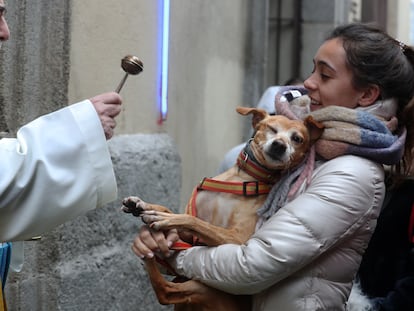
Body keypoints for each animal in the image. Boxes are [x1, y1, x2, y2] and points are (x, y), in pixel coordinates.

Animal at [123, 106, 324, 310]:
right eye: (272, 128)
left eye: (297, 138)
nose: (279, 145)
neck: (242, 179)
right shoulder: (190, 233)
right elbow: (174, 212)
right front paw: (143, 205)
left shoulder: (238, 238)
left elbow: (194, 221)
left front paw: (164, 219)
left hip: (203, 288)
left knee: (165, 291)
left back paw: (148, 258)